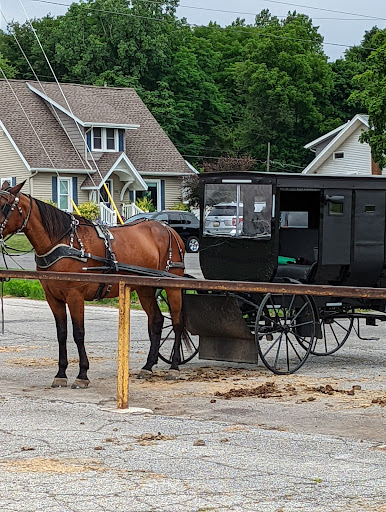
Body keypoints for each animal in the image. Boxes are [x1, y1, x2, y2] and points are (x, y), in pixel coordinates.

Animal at [0, 183, 187, 388]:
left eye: (4, 206)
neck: (62, 243)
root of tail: (167, 229)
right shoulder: (53, 297)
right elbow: (62, 334)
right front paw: (61, 373)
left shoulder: (75, 295)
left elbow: (78, 333)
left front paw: (82, 374)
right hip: (144, 288)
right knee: (157, 320)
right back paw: (148, 366)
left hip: (172, 285)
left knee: (177, 322)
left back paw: (175, 367)